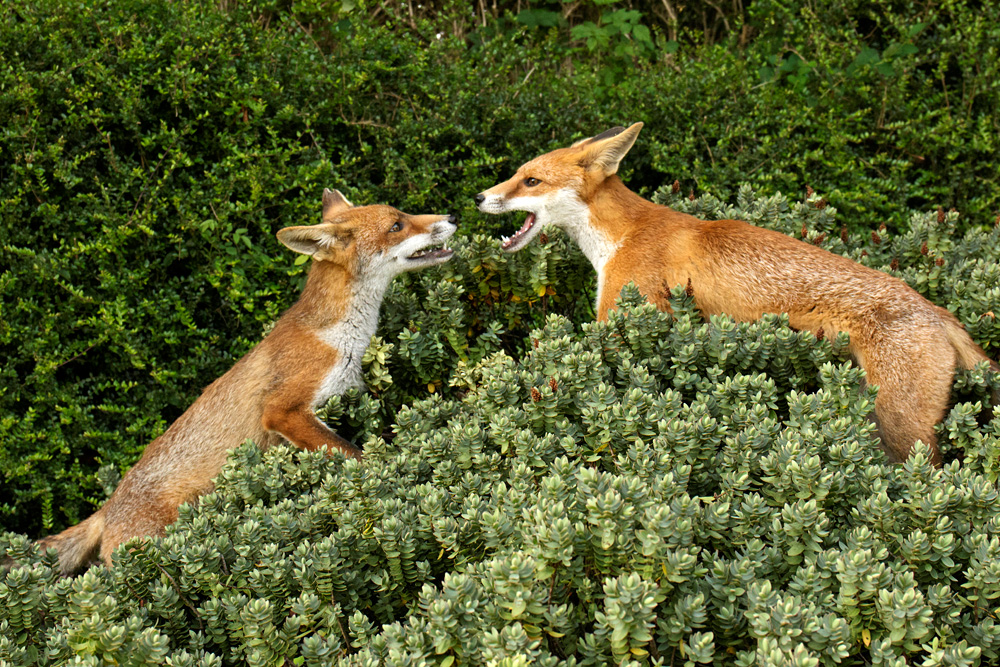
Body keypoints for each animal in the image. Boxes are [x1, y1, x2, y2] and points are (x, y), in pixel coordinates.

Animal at [30, 189, 457, 575]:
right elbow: (354, 455)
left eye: (403, 214)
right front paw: (390, 475)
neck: (338, 337)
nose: (452, 215)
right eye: (397, 225)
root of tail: (106, 509)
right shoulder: (284, 411)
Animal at [475, 122, 997, 466]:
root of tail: (937, 311)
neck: (621, 235)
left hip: (898, 425)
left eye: (531, 180)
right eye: (517, 174)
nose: (479, 197)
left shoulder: (620, 319)